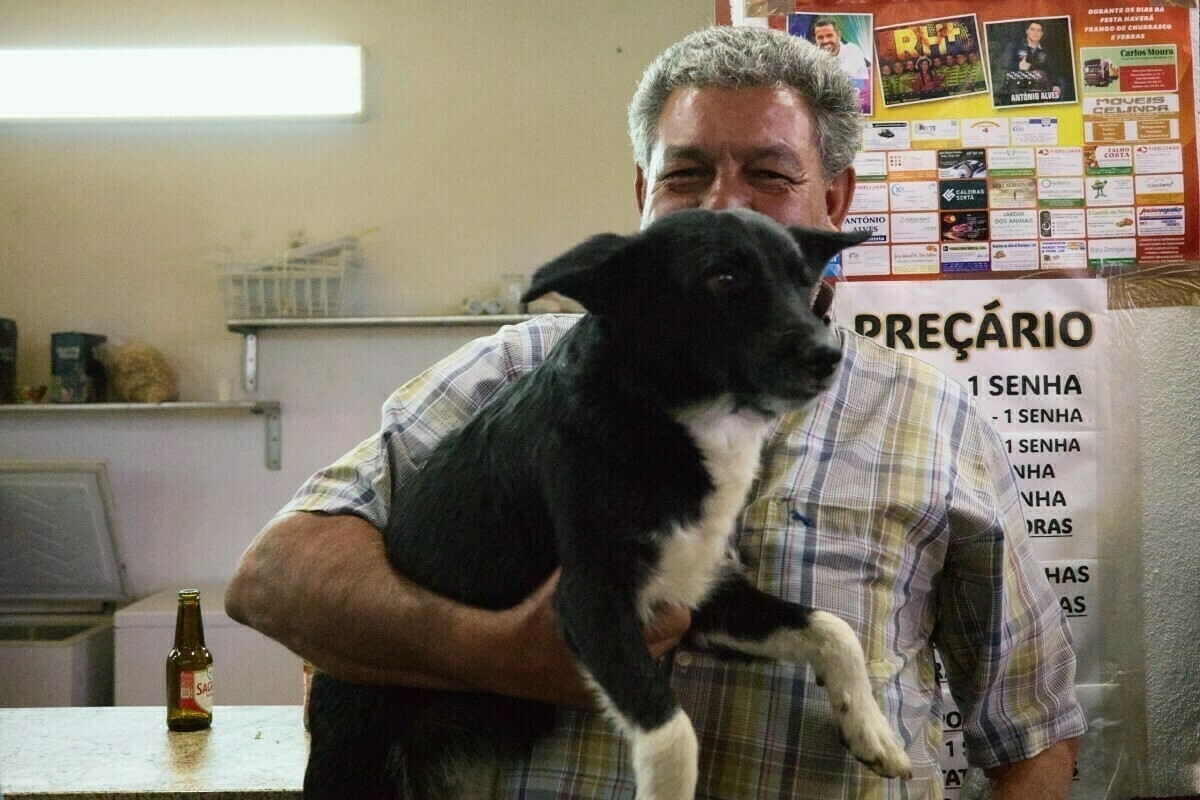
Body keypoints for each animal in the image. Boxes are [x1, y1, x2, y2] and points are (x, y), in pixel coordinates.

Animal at [304, 209, 912, 796]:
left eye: (804, 280)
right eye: (724, 279)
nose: (828, 356)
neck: (671, 416)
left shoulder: (699, 596)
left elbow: (833, 629)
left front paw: (870, 727)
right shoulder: (591, 598)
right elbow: (672, 734)